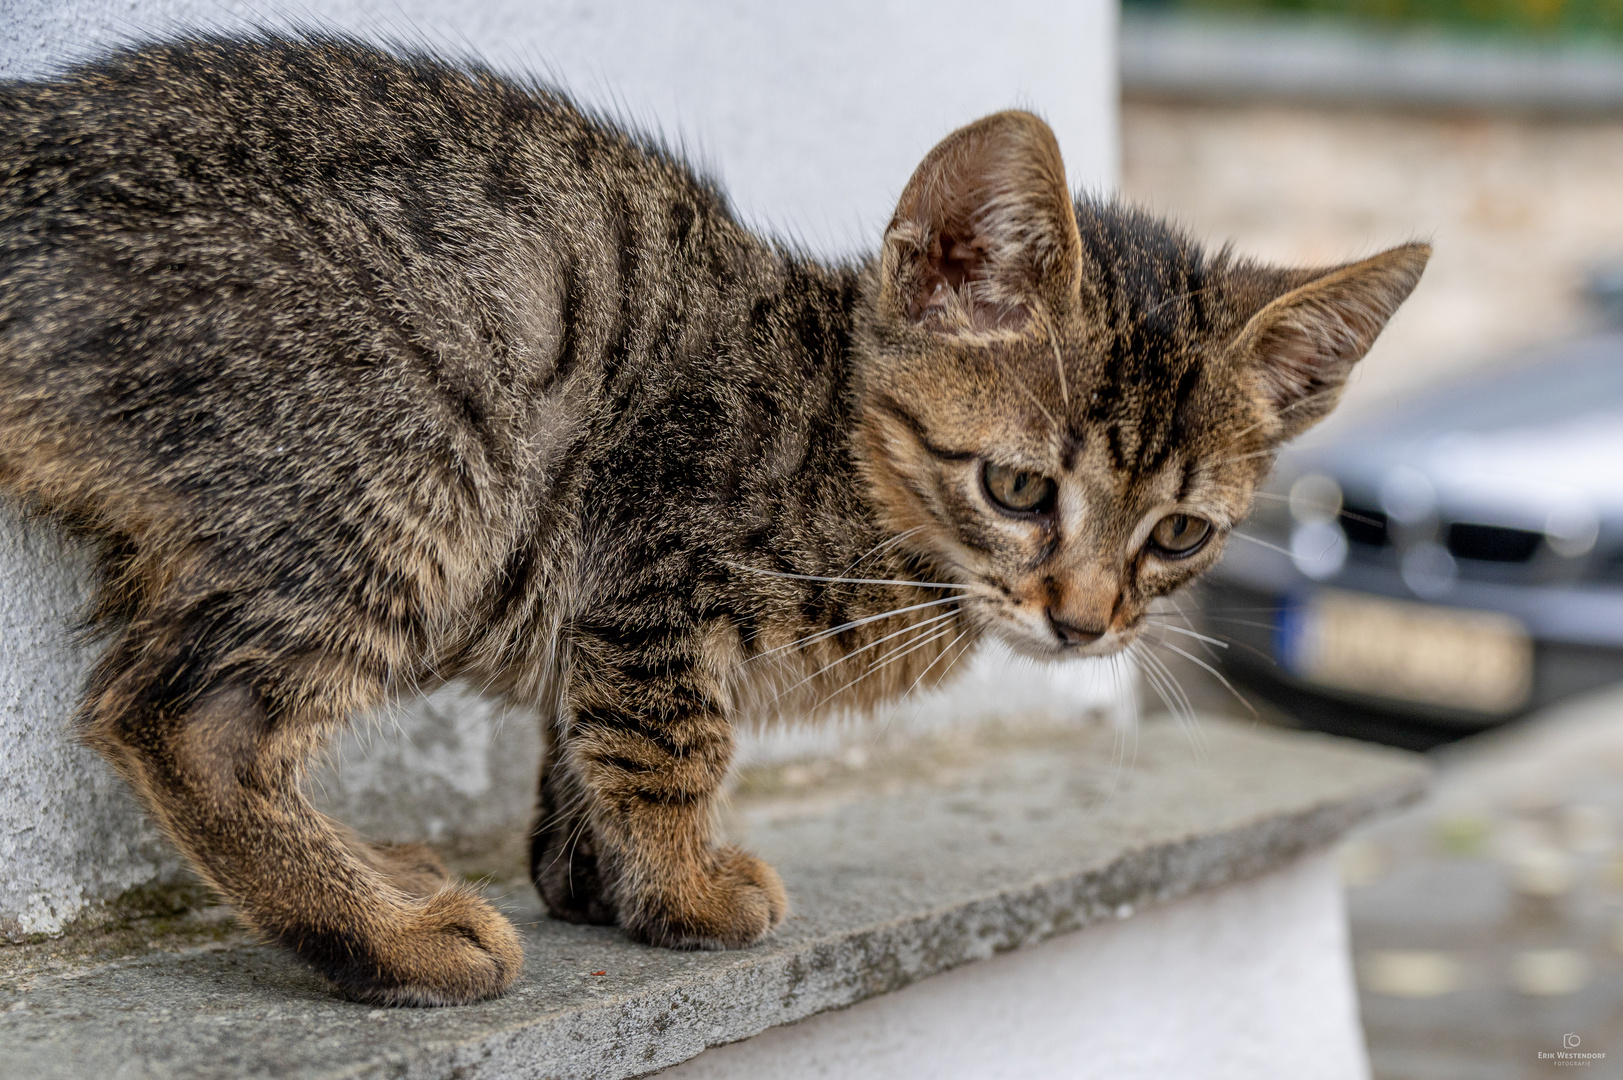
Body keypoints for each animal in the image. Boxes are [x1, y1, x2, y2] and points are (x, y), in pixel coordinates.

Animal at [0, 37, 1421, 1006]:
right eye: (1019, 491)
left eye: (1178, 537)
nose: (1083, 625)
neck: (845, 460)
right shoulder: (650, 538)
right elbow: (666, 733)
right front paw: (683, 885)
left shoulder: (601, 599)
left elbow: (584, 730)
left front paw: (598, 879)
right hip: (411, 455)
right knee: (188, 718)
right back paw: (390, 934)